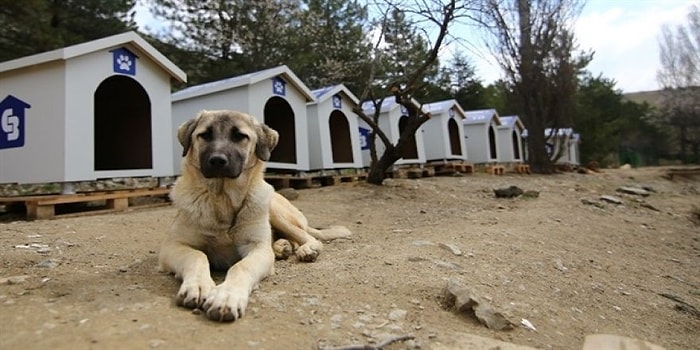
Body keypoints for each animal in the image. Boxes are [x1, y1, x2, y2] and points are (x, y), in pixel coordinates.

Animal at [161, 110, 352, 322]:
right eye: (204, 135)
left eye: (240, 136)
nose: (217, 160)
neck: (222, 199)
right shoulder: (173, 246)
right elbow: (197, 255)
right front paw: (198, 285)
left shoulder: (257, 248)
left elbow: (240, 267)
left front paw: (226, 296)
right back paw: (282, 247)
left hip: (275, 209)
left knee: (308, 237)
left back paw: (307, 249)